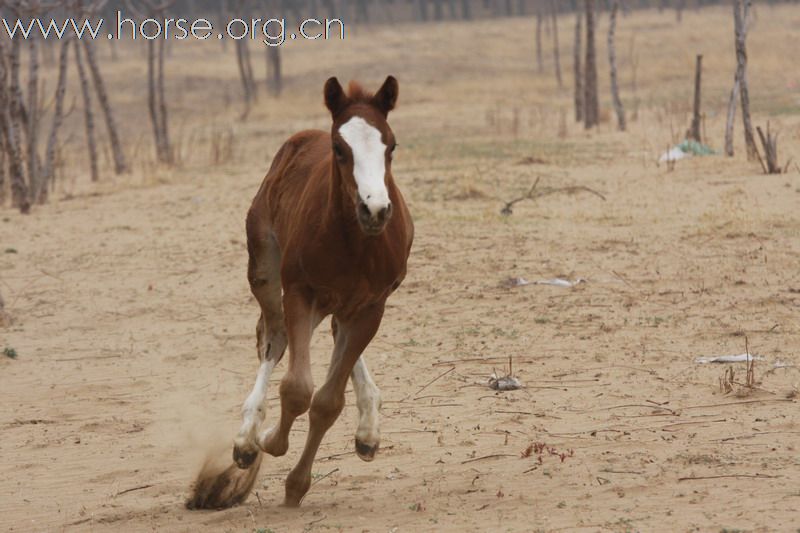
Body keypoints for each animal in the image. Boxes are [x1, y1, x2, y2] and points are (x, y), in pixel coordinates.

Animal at [187, 75, 412, 508]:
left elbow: (326, 401)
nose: (375, 210)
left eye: (391, 145)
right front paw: (265, 440)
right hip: (265, 273)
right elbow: (296, 389)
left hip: (342, 302)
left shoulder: (372, 305)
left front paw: (297, 484)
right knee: (273, 337)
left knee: (334, 333)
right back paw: (246, 439)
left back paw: (367, 428)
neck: (354, 243)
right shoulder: (299, 293)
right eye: (339, 149)